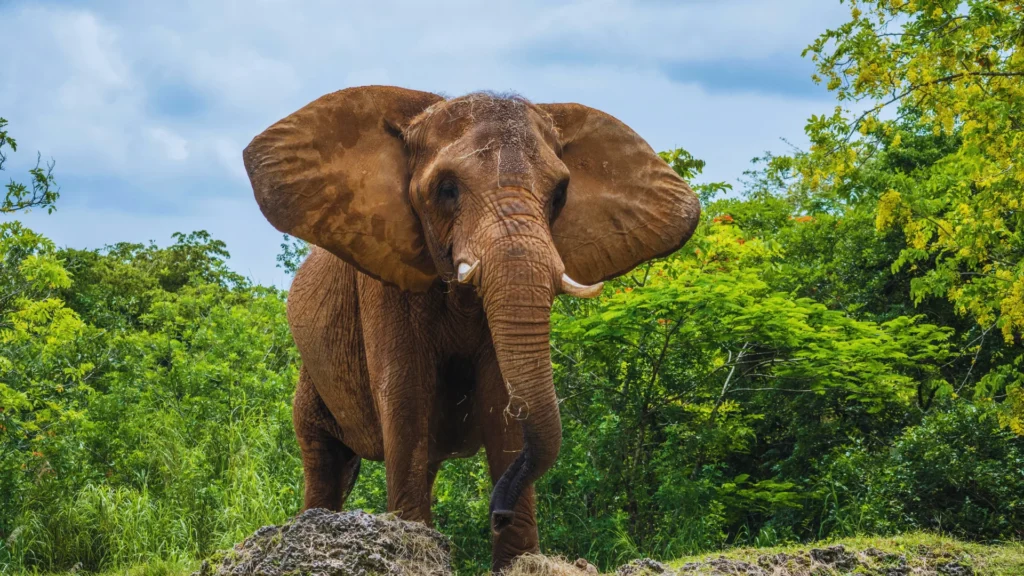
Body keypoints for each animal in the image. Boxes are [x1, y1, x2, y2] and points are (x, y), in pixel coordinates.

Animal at [242, 85, 700, 572]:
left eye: (560, 194)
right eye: (447, 190)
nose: (498, 513)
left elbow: (504, 401)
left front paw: (517, 561)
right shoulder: (385, 283)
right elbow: (405, 396)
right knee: (325, 458)